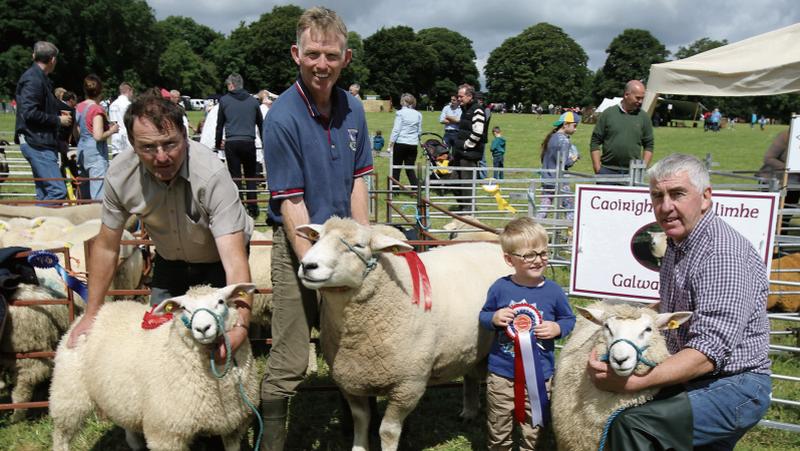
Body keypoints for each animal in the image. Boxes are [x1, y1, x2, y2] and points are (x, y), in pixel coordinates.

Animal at [48, 284, 260, 450]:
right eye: (184, 308)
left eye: (221, 302)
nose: (202, 328)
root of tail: (96, 312)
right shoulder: (166, 433)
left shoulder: (234, 425)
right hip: (69, 394)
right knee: (61, 433)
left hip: (122, 394)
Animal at [296, 218, 510, 451]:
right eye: (318, 238)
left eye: (359, 245)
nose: (308, 265)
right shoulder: (349, 380)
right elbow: (360, 420)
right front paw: (358, 447)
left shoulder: (408, 384)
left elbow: (388, 431)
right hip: (472, 345)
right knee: (470, 375)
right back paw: (469, 413)